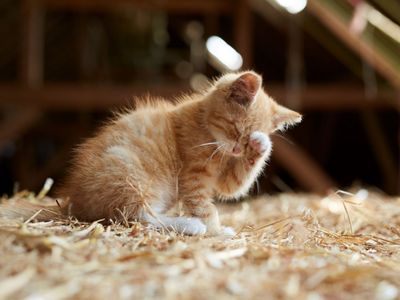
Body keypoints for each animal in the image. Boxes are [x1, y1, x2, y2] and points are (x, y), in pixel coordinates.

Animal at [0, 71, 300, 236]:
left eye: (246, 142)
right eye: (236, 130)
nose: (240, 148)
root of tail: (73, 203)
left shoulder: (226, 177)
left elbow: (234, 185)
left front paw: (262, 145)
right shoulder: (193, 176)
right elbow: (204, 206)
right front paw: (215, 231)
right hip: (129, 172)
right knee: (137, 217)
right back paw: (190, 225)